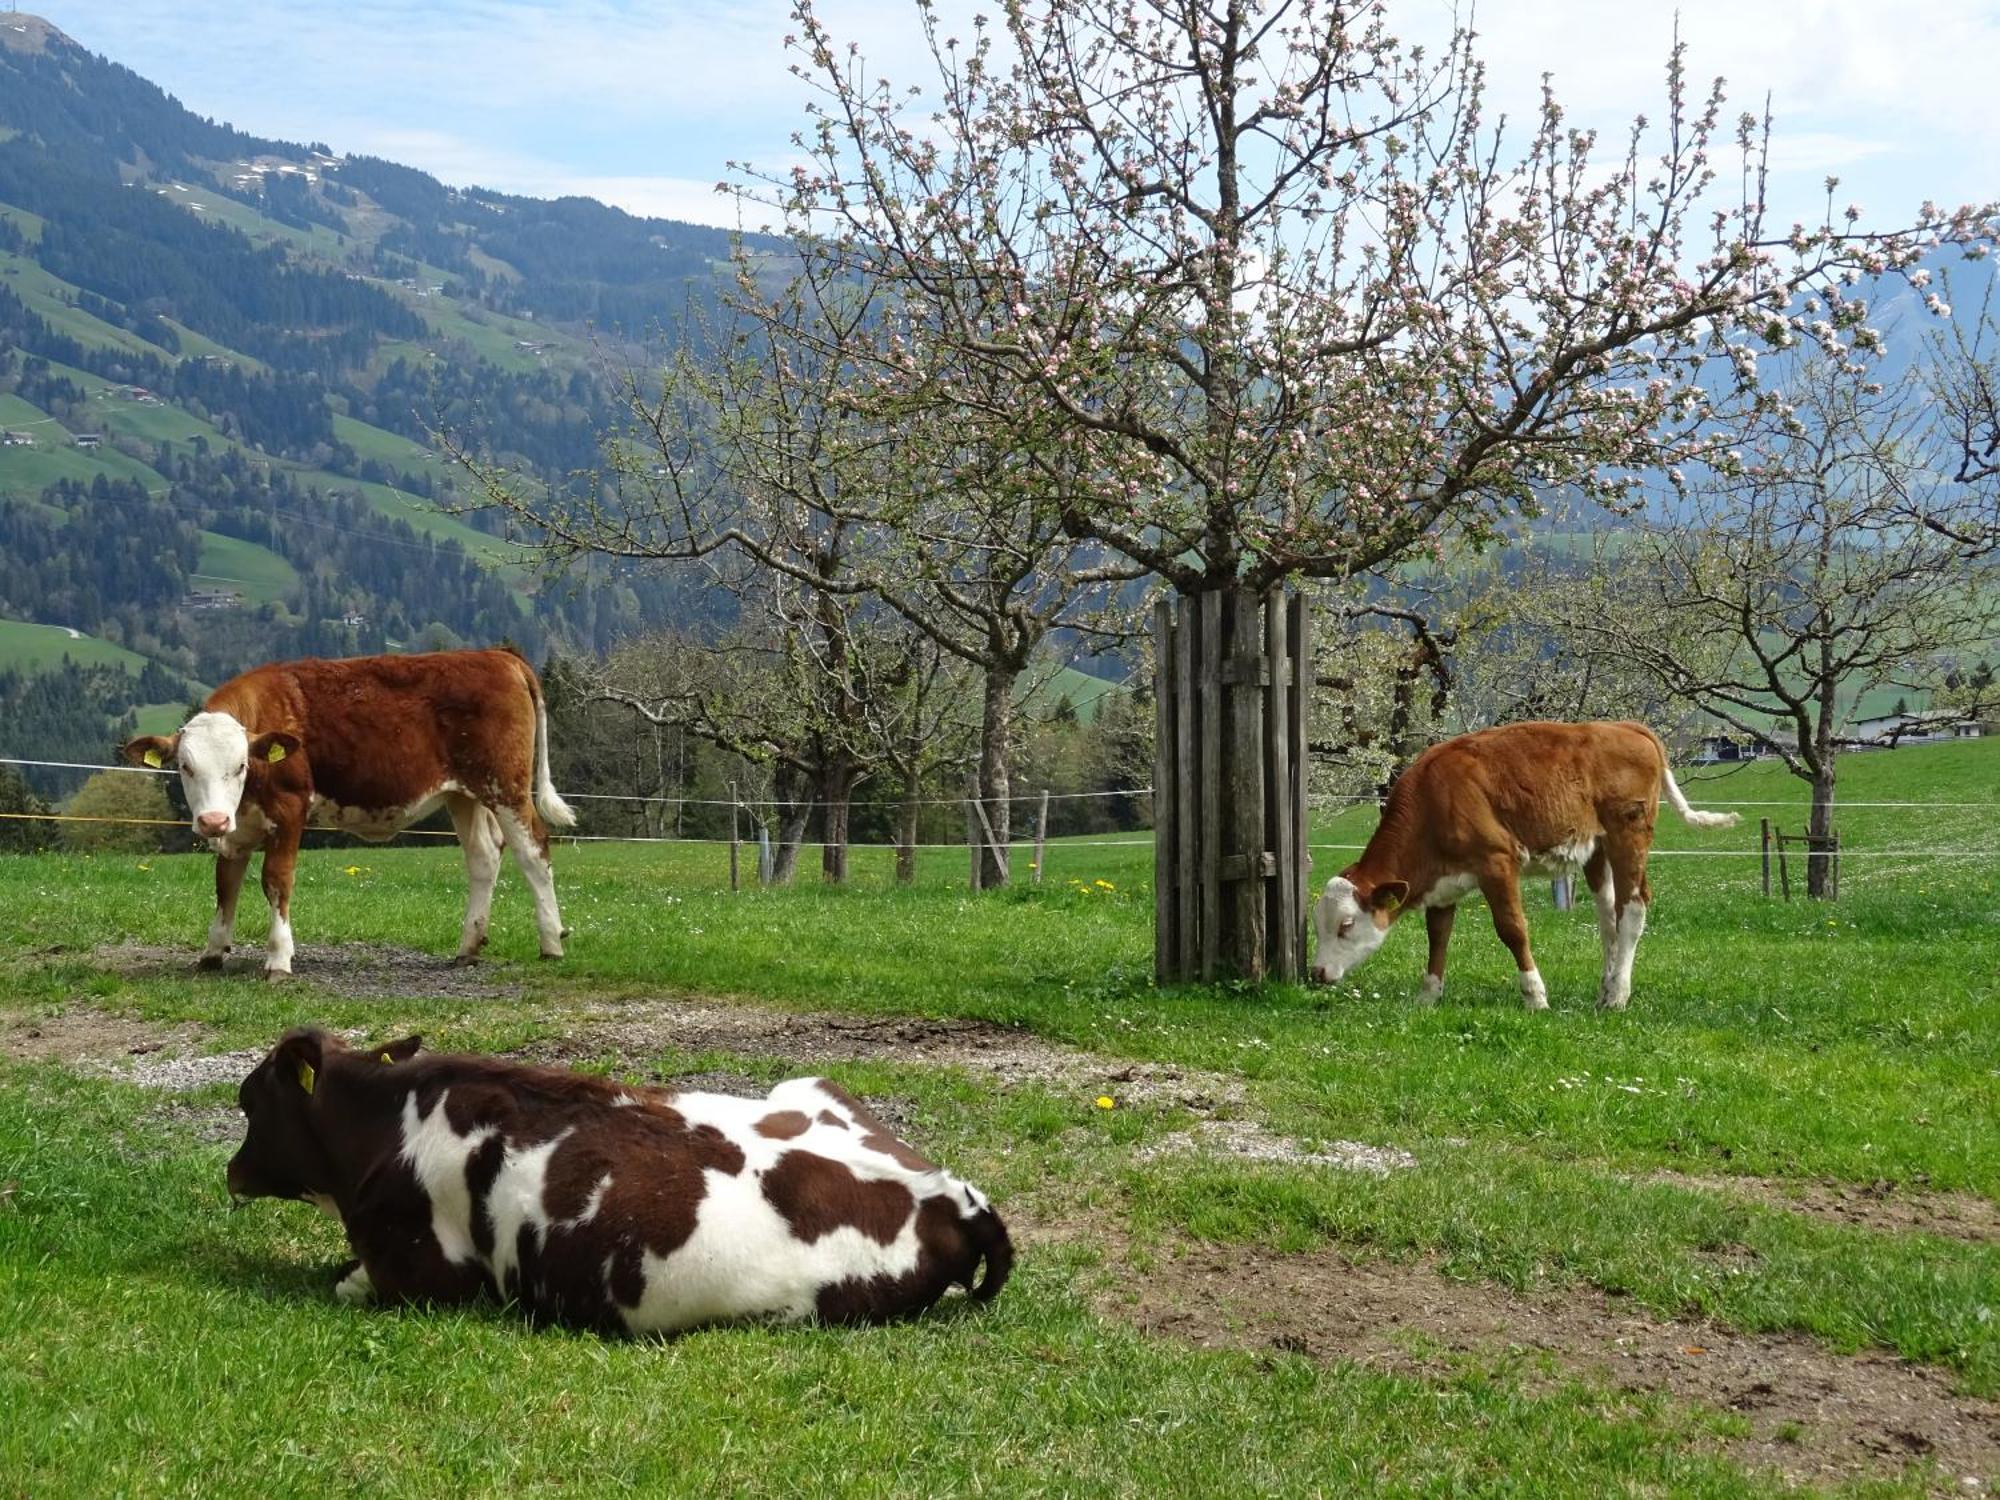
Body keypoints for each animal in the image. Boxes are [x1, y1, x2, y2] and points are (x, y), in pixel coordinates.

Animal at [123, 648, 572, 980]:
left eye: (241, 766)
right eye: (185, 767)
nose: (211, 821)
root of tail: (499, 655)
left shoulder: (289, 809)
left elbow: (276, 881)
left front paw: (279, 958)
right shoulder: (236, 830)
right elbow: (225, 886)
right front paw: (213, 952)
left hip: (507, 786)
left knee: (534, 851)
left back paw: (551, 942)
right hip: (464, 794)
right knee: (483, 856)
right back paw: (468, 946)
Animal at [230, 1032, 1016, 1336]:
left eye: (248, 1102)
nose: (230, 1172)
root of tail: (955, 1195)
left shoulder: (430, 1279)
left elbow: (347, 1281)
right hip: (808, 1082)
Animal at [1312, 724, 1736, 1016]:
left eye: (1346, 925)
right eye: (1318, 925)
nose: (1316, 973)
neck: (1436, 798)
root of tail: (1625, 726)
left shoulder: (1496, 862)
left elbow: (1512, 930)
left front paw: (1535, 996)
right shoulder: (1443, 884)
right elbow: (1438, 937)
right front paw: (1428, 995)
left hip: (1628, 833)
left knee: (1633, 909)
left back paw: (1618, 995)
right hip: (1597, 848)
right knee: (1609, 918)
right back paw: (1605, 989)